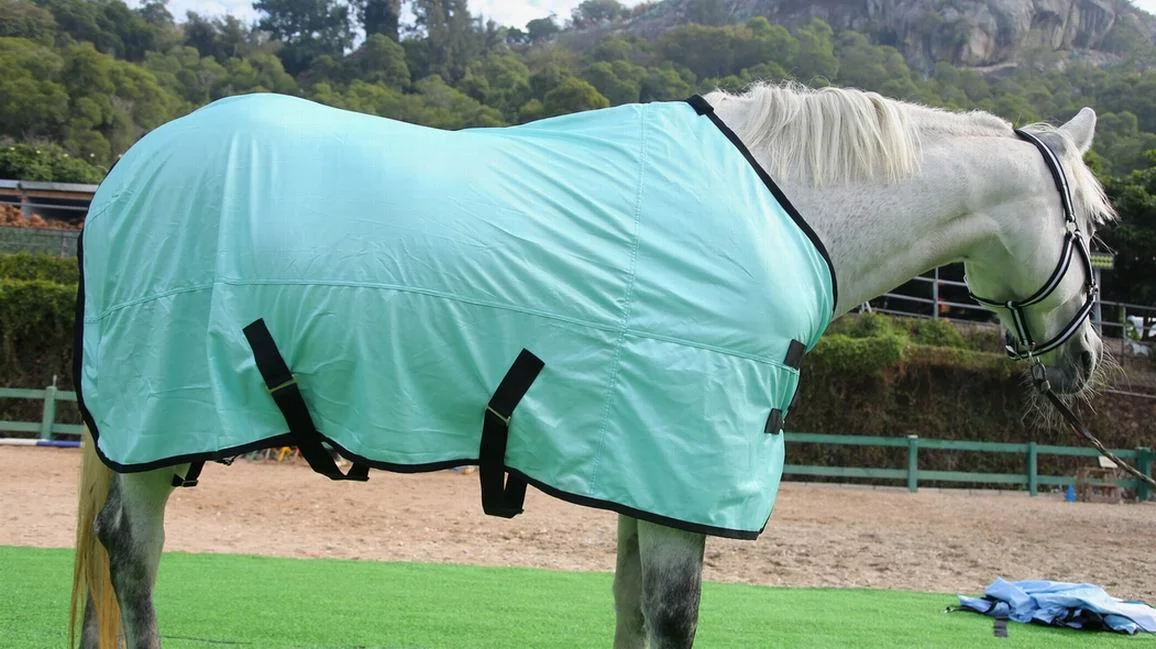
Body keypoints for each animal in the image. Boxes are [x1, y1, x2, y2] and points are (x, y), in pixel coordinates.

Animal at [67, 80, 1115, 649]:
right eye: (1099, 227)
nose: (1086, 361)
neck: (785, 207)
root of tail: (122, 176)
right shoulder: (684, 470)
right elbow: (672, 616)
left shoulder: (644, 470)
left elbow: (630, 612)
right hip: (159, 422)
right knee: (133, 552)